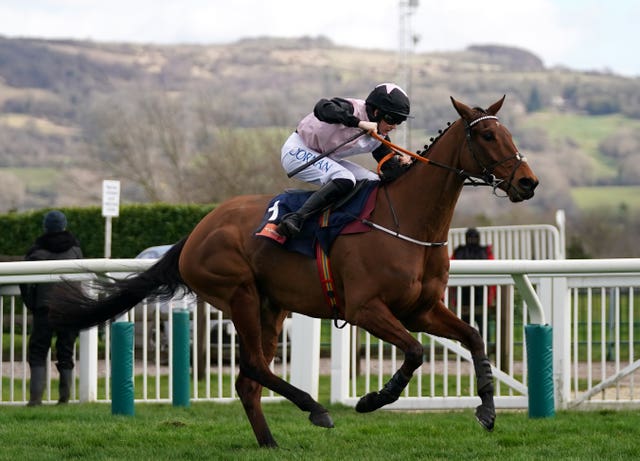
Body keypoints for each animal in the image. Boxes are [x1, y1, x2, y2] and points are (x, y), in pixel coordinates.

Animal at [51, 95, 540, 448]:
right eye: (489, 135)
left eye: (508, 132)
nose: (528, 182)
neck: (409, 222)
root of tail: (195, 232)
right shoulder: (366, 309)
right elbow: (416, 352)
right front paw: (371, 399)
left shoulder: (421, 309)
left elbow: (473, 337)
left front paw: (487, 410)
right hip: (240, 294)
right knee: (251, 365)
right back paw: (315, 408)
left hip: (272, 307)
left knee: (248, 380)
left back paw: (270, 442)